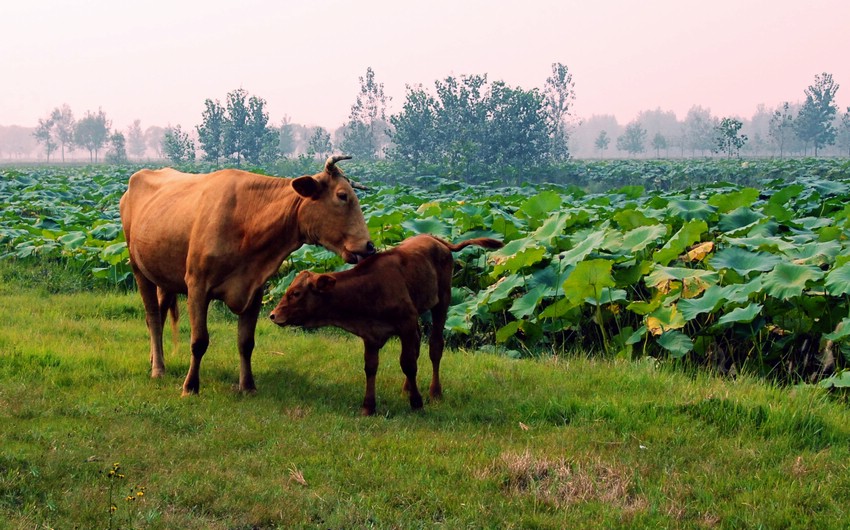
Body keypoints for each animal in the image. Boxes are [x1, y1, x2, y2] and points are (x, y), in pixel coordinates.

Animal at [118, 155, 372, 394]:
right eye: (342, 196)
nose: (369, 246)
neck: (248, 223)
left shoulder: (255, 289)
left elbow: (246, 342)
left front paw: (248, 386)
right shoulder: (197, 285)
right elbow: (199, 341)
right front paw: (190, 387)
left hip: (164, 277)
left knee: (159, 316)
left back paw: (154, 359)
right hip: (138, 269)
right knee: (152, 317)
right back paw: (158, 369)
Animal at [268, 234, 500, 412]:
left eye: (295, 293)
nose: (272, 314)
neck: (368, 288)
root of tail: (436, 239)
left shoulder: (406, 323)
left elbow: (408, 363)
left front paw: (417, 403)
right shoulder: (371, 334)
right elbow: (371, 367)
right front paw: (368, 406)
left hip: (443, 301)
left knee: (435, 346)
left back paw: (435, 392)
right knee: (417, 347)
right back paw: (407, 388)